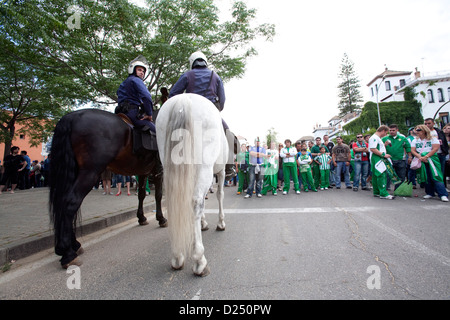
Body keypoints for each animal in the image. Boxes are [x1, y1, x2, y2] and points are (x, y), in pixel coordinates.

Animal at [48, 109, 167, 268]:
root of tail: (71, 117)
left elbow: (141, 194)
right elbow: (158, 195)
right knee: (70, 203)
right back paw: (68, 253)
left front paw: (141, 217)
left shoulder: (143, 172)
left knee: (64, 204)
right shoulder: (158, 171)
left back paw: (72, 245)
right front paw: (161, 219)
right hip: (91, 172)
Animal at [157, 94, 230, 276]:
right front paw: (220, 223)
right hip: (205, 168)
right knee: (196, 202)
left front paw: (203, 223)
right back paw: (199, 260)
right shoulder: (220, 173)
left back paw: (177, 256)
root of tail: (183, 100)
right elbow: (219, 195)